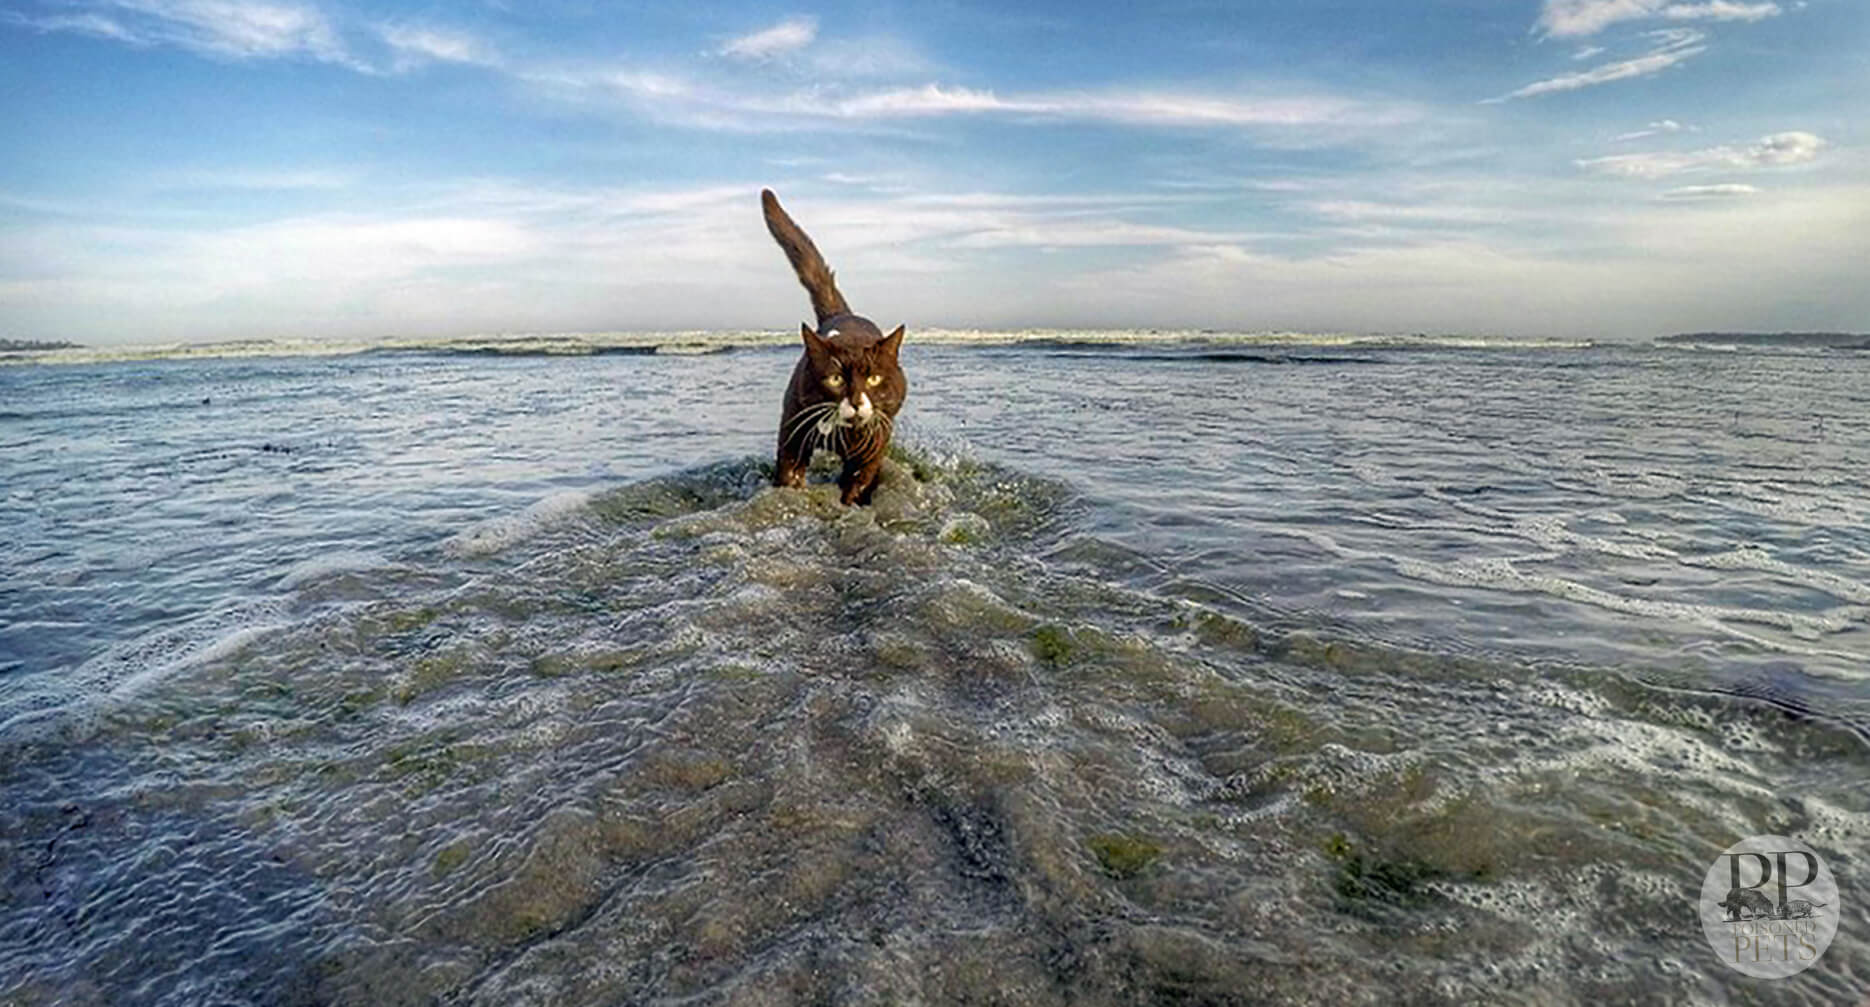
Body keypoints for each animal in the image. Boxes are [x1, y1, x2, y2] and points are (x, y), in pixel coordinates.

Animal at [759, 187, 905, 504]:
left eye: (874, 379)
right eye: (835, 378)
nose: (856, 400)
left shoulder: (873, 445)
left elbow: (858, 481)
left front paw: (850, 503)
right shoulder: (794, 426)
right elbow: (789, 471)